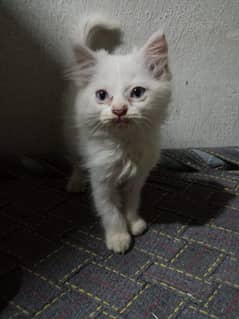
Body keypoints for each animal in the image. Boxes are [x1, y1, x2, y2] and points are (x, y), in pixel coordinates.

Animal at [66, 15, 172, 255]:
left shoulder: (138, 176)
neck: (124, 146)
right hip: (75, 136)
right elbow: (110, 211)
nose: (119, 110)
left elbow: (131, 202)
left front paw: (133, 223)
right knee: (76, 159)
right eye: (102, 95)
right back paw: (75, 182)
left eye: (137, 92)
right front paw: (118, 237)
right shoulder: (101, 180)